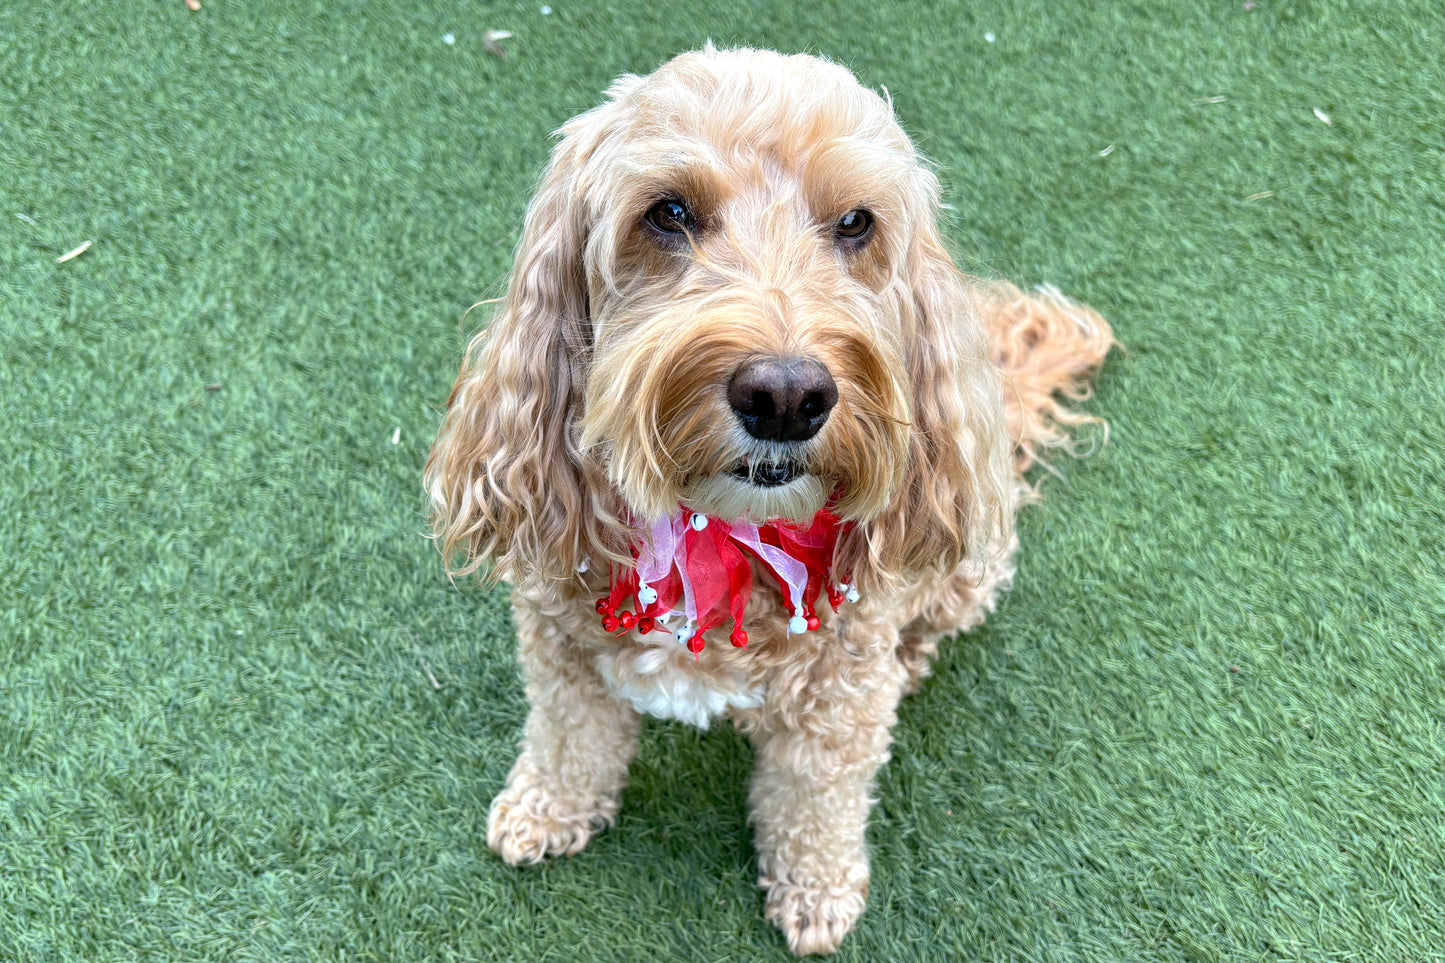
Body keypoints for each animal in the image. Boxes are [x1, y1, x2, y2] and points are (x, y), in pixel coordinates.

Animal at [421, 45, 1109, 954]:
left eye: (854, 222)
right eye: (668, 212)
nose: (785, 396)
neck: (714, 528)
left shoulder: (839, 700)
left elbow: (817, 797)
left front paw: (816, 889)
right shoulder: (560, 648)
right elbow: (570, 736)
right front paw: (547, 807)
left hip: (964, 570)